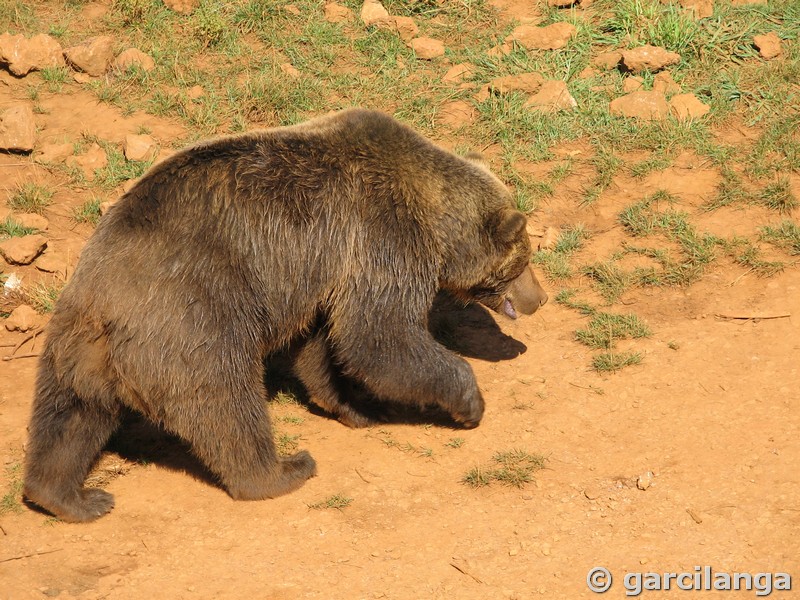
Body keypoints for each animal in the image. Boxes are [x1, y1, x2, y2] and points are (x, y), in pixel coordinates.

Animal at [25, 108, 552, 520]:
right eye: (523, 260)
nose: (540, 297)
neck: (434, 218)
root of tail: (106, 299)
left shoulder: (323, 274)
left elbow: (323, 347)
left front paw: (355, 406)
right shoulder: (379, 234)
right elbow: (379, 336)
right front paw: (468, 402)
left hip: (78, 346)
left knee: (69, 418)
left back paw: (69, 497)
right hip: (193, 319)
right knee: (225, 401)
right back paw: (283, 469)